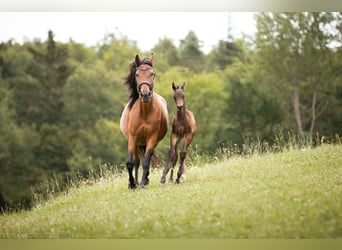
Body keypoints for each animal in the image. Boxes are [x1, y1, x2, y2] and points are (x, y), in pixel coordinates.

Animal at [120, 53, 168, 188]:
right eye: (137, 74)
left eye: (152, 74)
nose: (145, 94)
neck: (144, 113)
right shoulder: (132, 138)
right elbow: (130, 162)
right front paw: (132, 184)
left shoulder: (152, 138)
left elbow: (146, 162)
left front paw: (142, 183)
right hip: (138, 142)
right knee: (136, 161)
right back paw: (135, 182)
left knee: (147, 158)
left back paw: (144, 180)